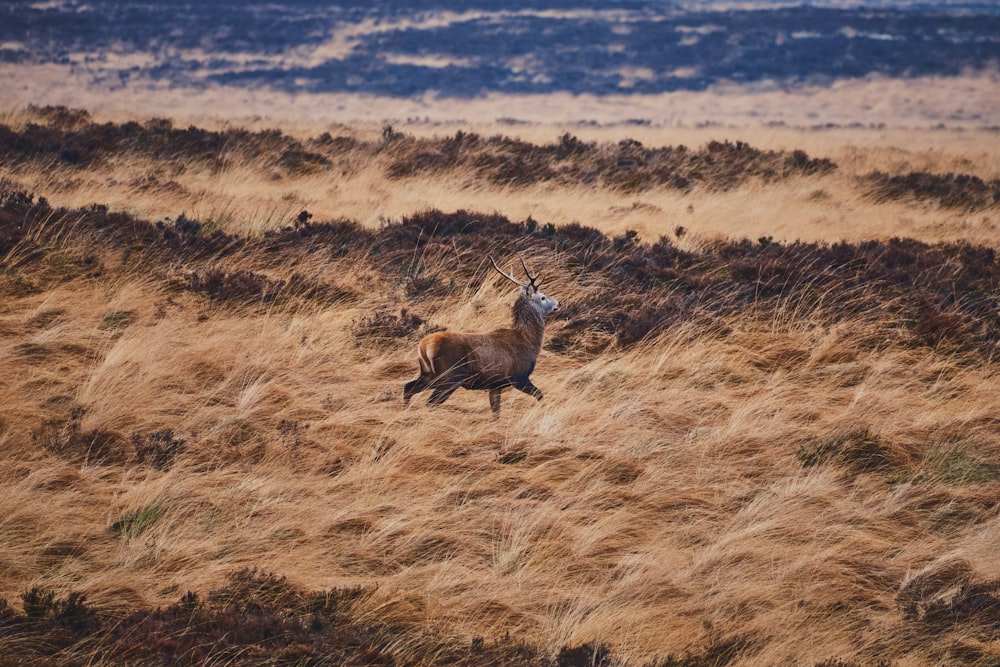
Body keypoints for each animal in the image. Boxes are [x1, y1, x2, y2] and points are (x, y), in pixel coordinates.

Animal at [406, 254, 564, 418]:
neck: (528, 341)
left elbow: (496, 412)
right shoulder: (518, 376)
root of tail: (424, 347)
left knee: (408, 387)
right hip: (450, 376)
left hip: (429, 373)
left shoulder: (495, 384)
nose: (559, 303)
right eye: (543, 297)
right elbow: (540, 395)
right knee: (430, 402)